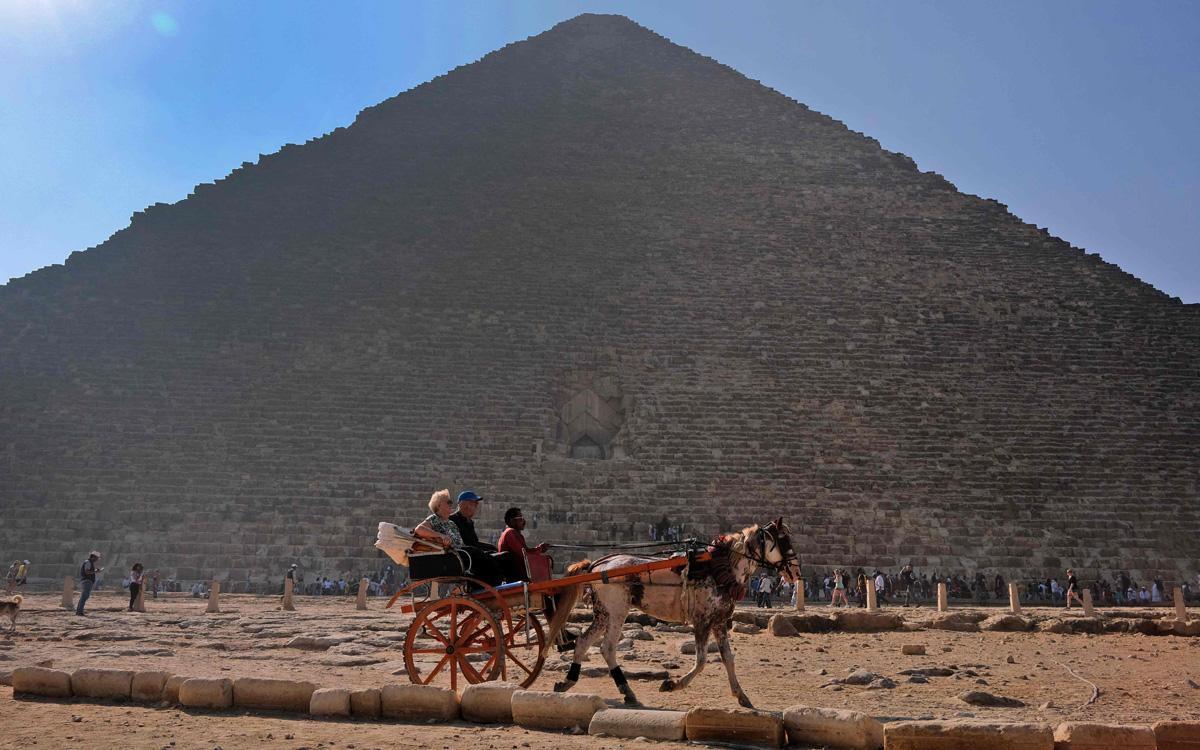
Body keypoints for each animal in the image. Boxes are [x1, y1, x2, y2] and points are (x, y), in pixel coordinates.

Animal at [549, 518, 801, 705]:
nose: (796, 572)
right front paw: (671, 684)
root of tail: (596, 565)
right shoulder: (702, 621)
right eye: (783, 539)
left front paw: (741, 696)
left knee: (583, 641)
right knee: (607, 647)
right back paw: (627, 691)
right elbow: (701, 661)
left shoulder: (719, 622)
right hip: (617, 610)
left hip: (604, 613)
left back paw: (568, 682)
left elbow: (728, 659)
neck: (720, 567)